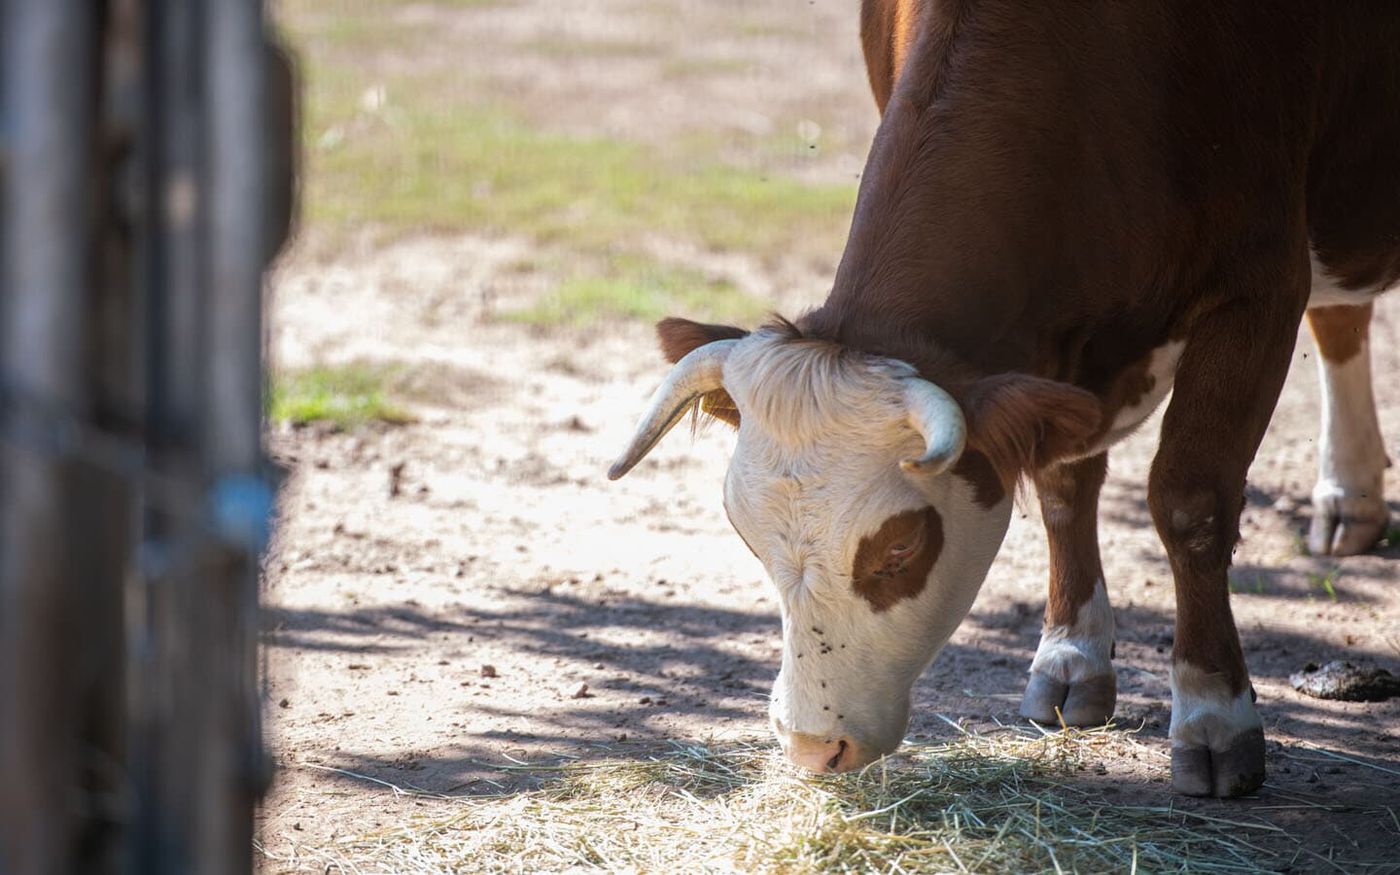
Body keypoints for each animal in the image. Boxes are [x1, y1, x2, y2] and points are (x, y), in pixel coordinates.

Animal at [607, 0, 1394, 795]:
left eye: (901, 546)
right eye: (747, 535)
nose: (811, 745)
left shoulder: (1258, 286)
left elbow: (1191, 501)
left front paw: (1212, 713)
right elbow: (1062, 484)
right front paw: (1072, 655)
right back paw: (1351, 500)